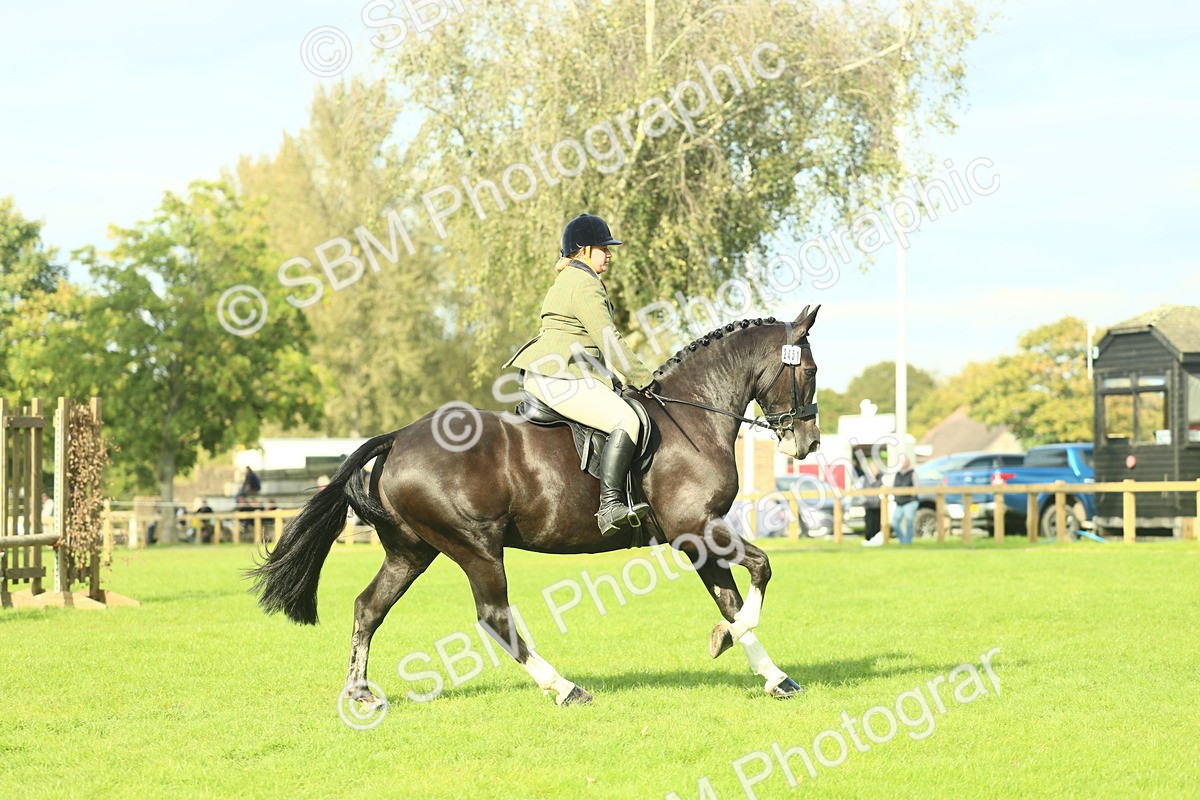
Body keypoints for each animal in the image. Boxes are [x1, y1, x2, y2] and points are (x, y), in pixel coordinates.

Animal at [248, 305, 821, 708]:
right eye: (811, 370)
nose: (809, 443)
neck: (694, 417)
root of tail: (400, 436)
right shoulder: (697, 527)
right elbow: (760, 572)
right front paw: (726, 640)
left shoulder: (697, 536)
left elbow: (730, 599)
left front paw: (772, 675)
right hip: (476, 548)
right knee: (494, 618)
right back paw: (564, 688)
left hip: (411, 551)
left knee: (369, 607)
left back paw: (359, 692)